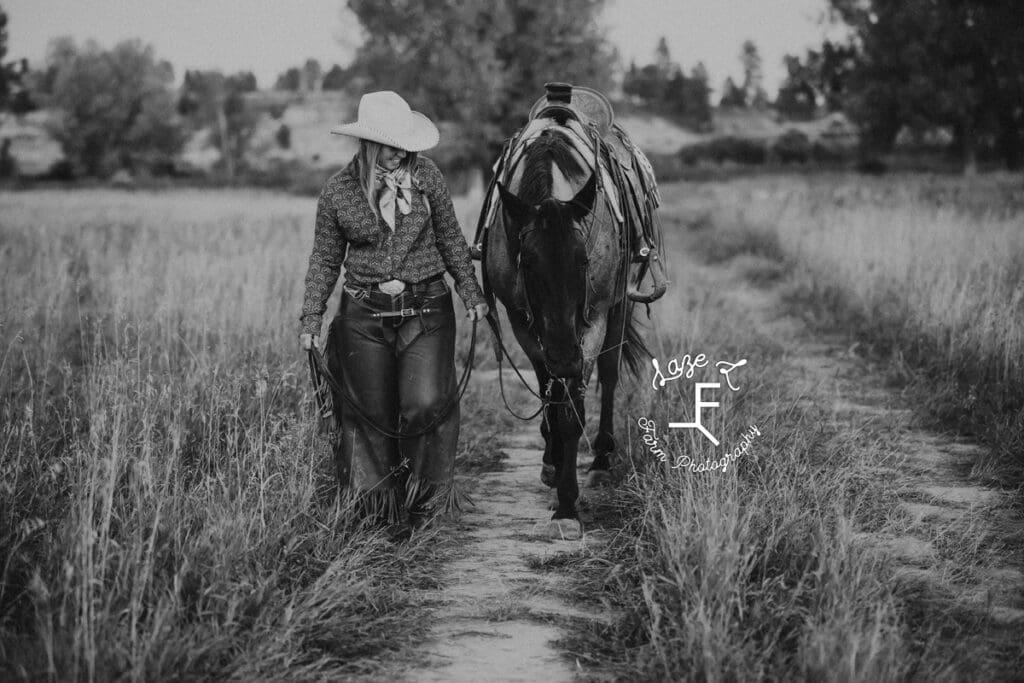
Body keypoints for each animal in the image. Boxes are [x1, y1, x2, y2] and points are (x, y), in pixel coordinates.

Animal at [481, 124, 655, 540]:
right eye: (527, 261)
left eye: (583, 260)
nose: (565, 356)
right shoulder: (523, 323)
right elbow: (549, 394)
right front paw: (555, 466)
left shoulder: (591, 325)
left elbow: (572, 411)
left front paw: (567, 506)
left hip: (618, 310)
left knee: (608, 376)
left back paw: (601, 460)